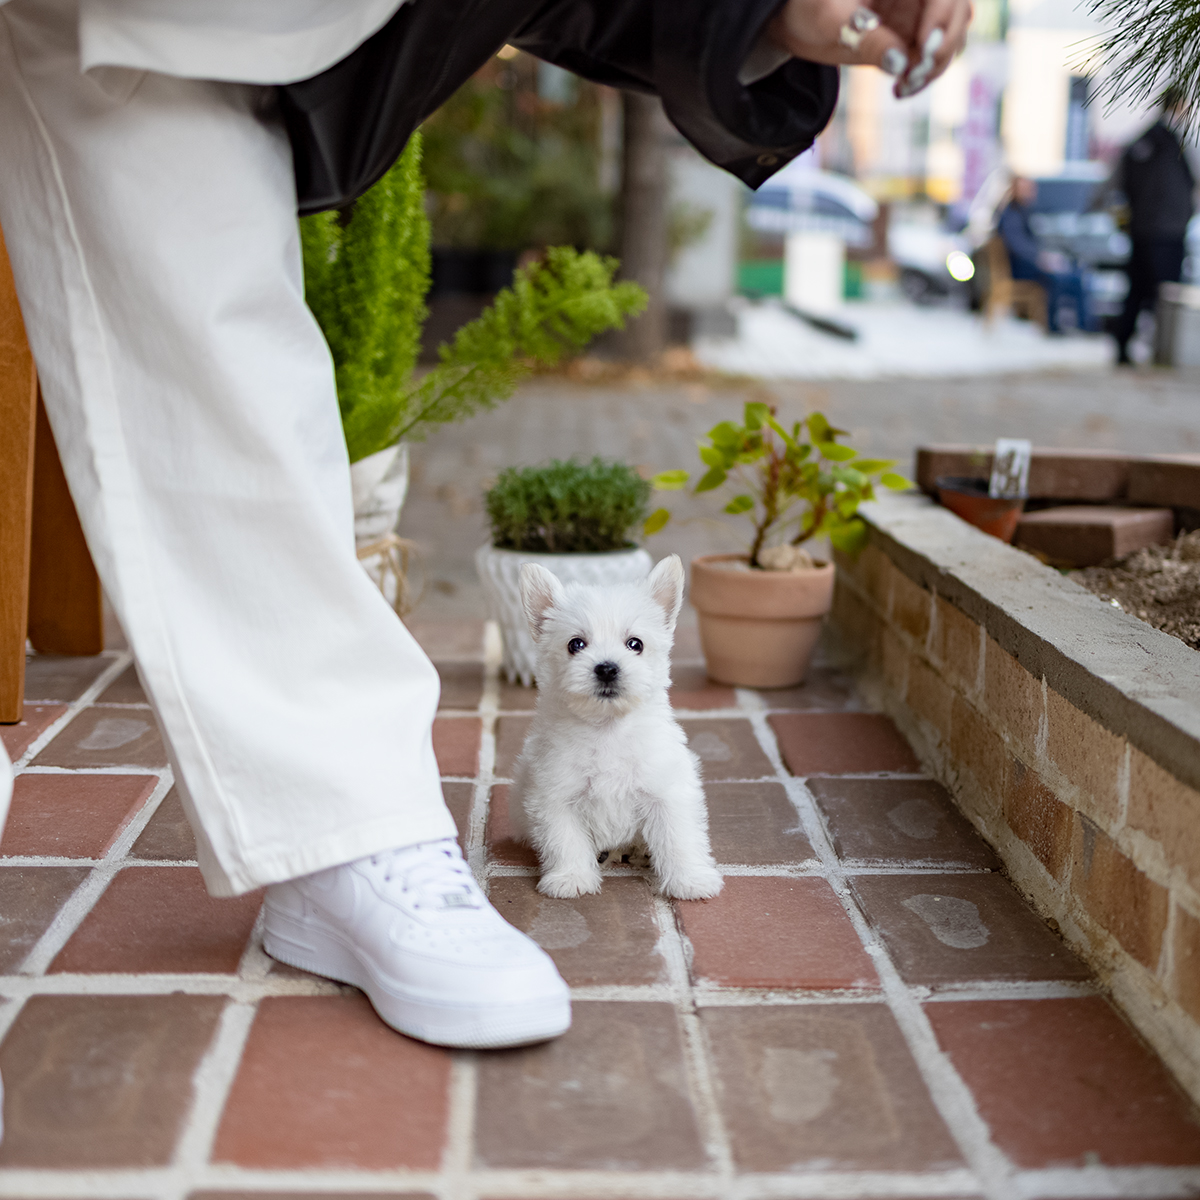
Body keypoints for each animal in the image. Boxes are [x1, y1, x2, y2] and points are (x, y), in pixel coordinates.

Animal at [506, 552, 720, 902]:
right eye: (575, 644)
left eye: (635, 644)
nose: (607, 668)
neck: (607, 730)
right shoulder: (555, 796)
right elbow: (565, 840)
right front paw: (571, 877)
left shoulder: (666, 792)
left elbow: (678, 838)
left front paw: (690, 879)